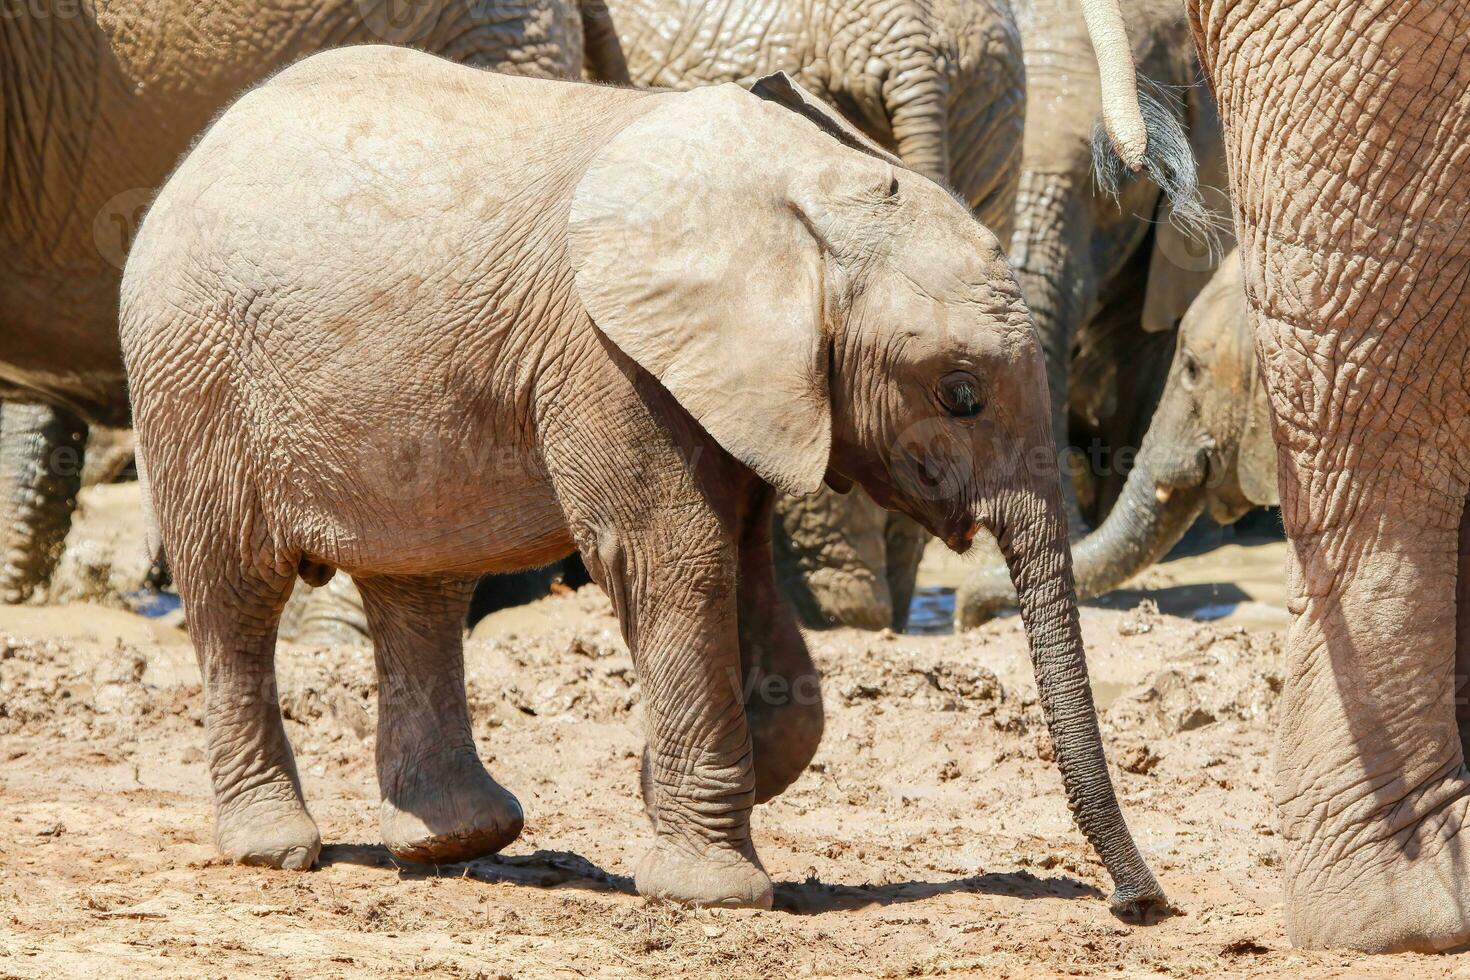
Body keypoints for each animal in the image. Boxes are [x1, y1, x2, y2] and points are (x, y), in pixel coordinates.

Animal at [123, 49, 1158, 910]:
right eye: (961, 392)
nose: (1138, 904)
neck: (806, 189)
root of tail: (195, 152)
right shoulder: (608, 355)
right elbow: (677, 562)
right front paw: (715, 892)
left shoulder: (741, 377)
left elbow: (742, 568)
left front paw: (662, 786)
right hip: (192, 376)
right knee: (237, 592)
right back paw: (277, 849)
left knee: (420, 590)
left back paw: (457, 842)